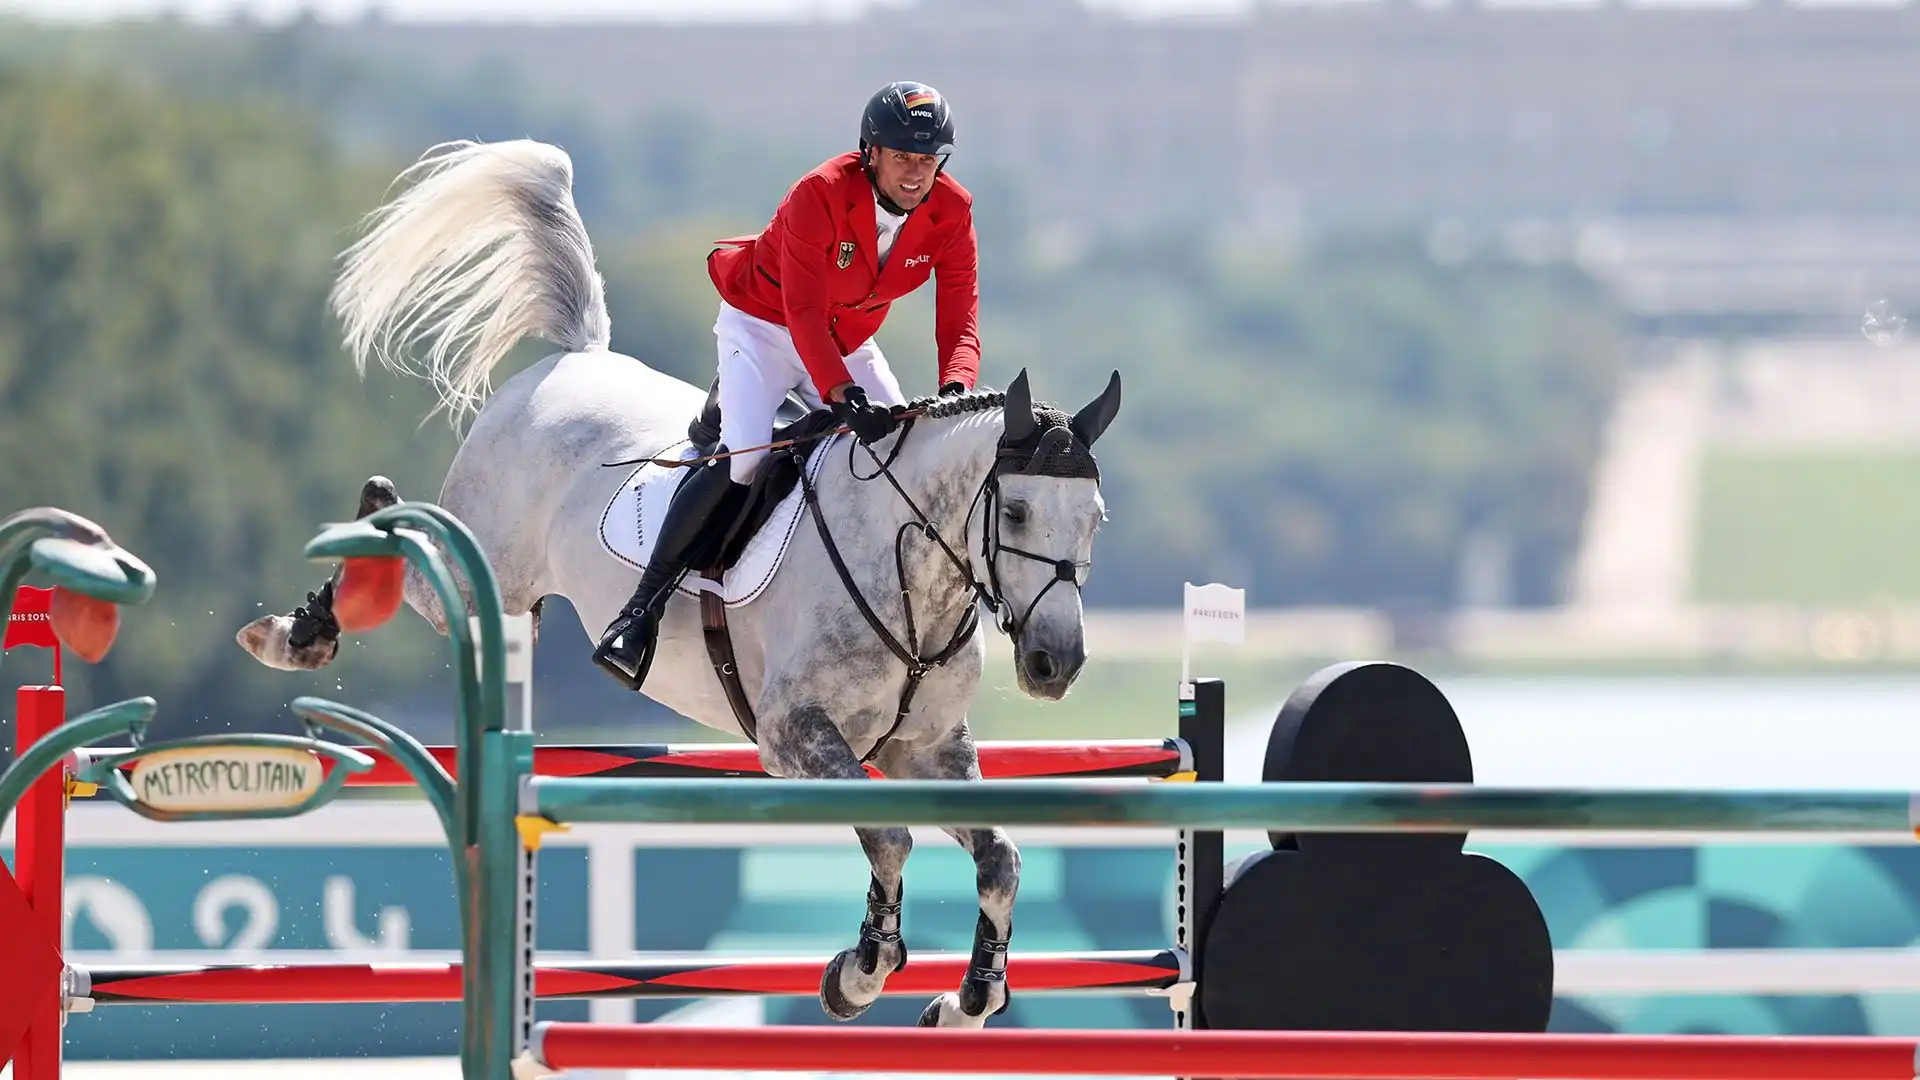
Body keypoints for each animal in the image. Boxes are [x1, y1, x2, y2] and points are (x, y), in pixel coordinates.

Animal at [234, 138, 1121, 1022]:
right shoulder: (793, 736)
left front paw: (970, 996)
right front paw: (862, 969)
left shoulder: (926, 749)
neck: (909, 572)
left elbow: (1000, 857)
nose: (1056, 665)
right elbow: (890, 837)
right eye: (1015, 514)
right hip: (485, 568)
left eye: (1096, 520)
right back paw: (303, 622)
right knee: (412, 549)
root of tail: (574, 362)